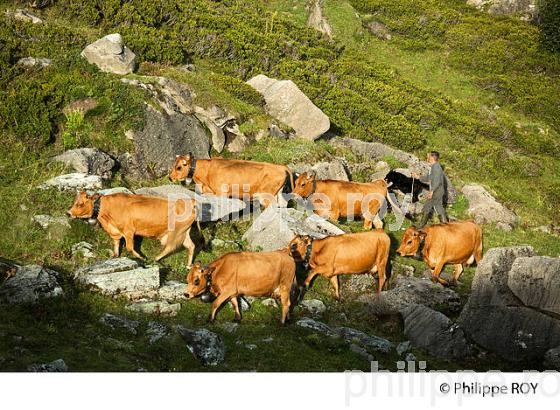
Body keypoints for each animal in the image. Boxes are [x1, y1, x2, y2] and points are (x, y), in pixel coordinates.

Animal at [67, 191, 198, 266]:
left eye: (80, 204)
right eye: (74, 202)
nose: (68, 213)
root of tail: (190, 202)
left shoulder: (128, 230)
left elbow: (129, 247)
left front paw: (141, 257)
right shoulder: (115, 232)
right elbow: (116, 245)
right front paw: (115, 256)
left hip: (175, 232)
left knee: (171, 246)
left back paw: (156, 258)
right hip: (184, 232)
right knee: (191, 246)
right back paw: (188, 265)